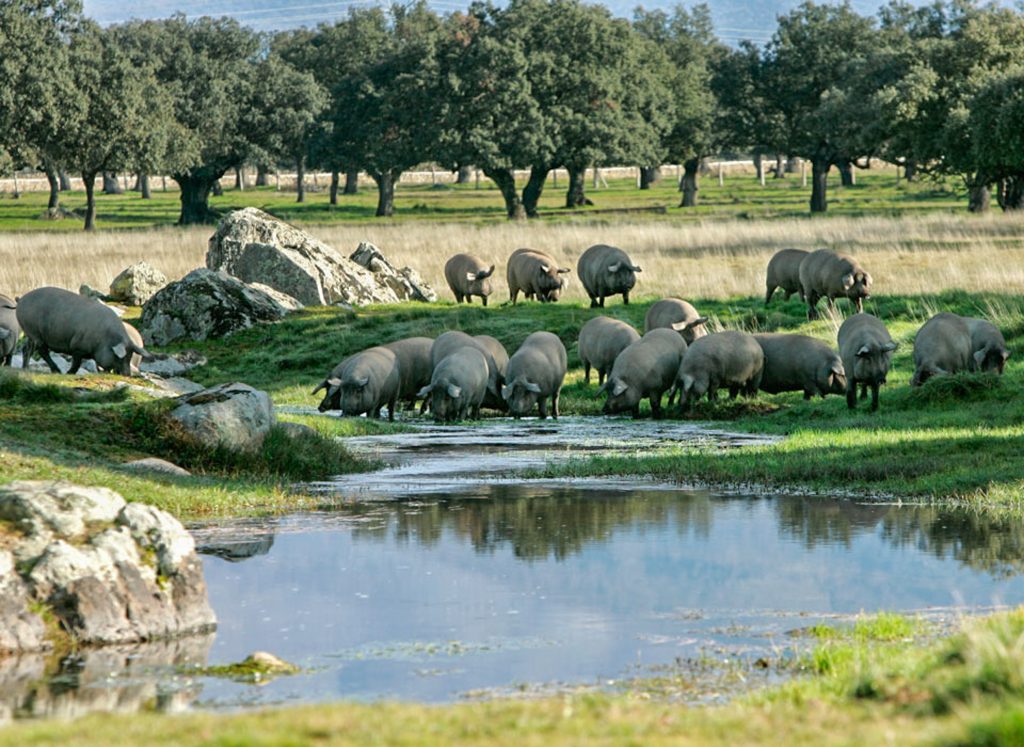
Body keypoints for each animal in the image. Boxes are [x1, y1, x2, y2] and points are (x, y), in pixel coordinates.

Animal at [17, 286, 151, 375]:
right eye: (121, 358)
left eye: (130, 357)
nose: (127, 374)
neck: (105, 338)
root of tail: (21, 300)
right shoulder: (77, 346)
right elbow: (77, 363)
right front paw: (69, 373)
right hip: (35, 332)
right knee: (42, 351)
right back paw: (57, 371)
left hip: (30, 333)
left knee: (26, 349)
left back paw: (25, 368)